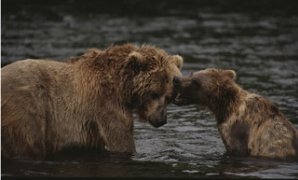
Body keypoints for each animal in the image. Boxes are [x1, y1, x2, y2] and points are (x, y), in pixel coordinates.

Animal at [1, 43, 183, 159]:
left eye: (169, 97)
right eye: (154, 93)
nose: (161, 119)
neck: (120, 86)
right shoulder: (105, 105)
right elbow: (120, 139)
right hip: (28, 106)